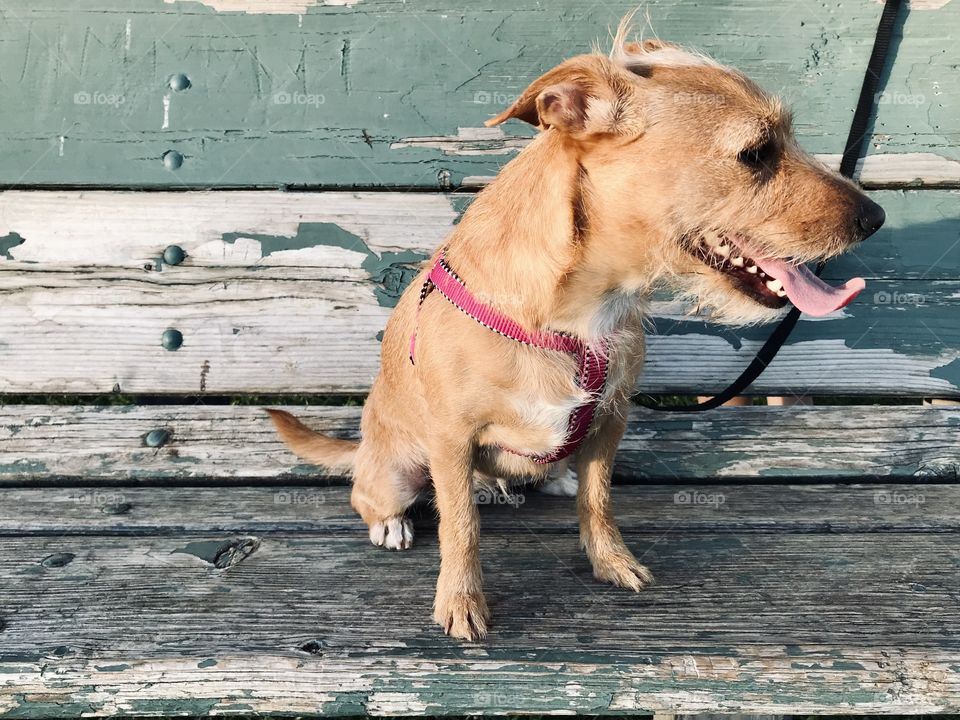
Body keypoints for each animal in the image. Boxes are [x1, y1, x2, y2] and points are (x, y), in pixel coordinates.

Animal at [268, 23, 884, 640]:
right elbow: (460, 526)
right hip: (397, 469)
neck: (582, 309)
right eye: (755, 153)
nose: (876, 218)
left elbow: (599, 498)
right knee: (376, 496)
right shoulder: (451, 436)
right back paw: (393, 522)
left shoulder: (610, 417)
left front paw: (609, 558)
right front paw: (461, 600)